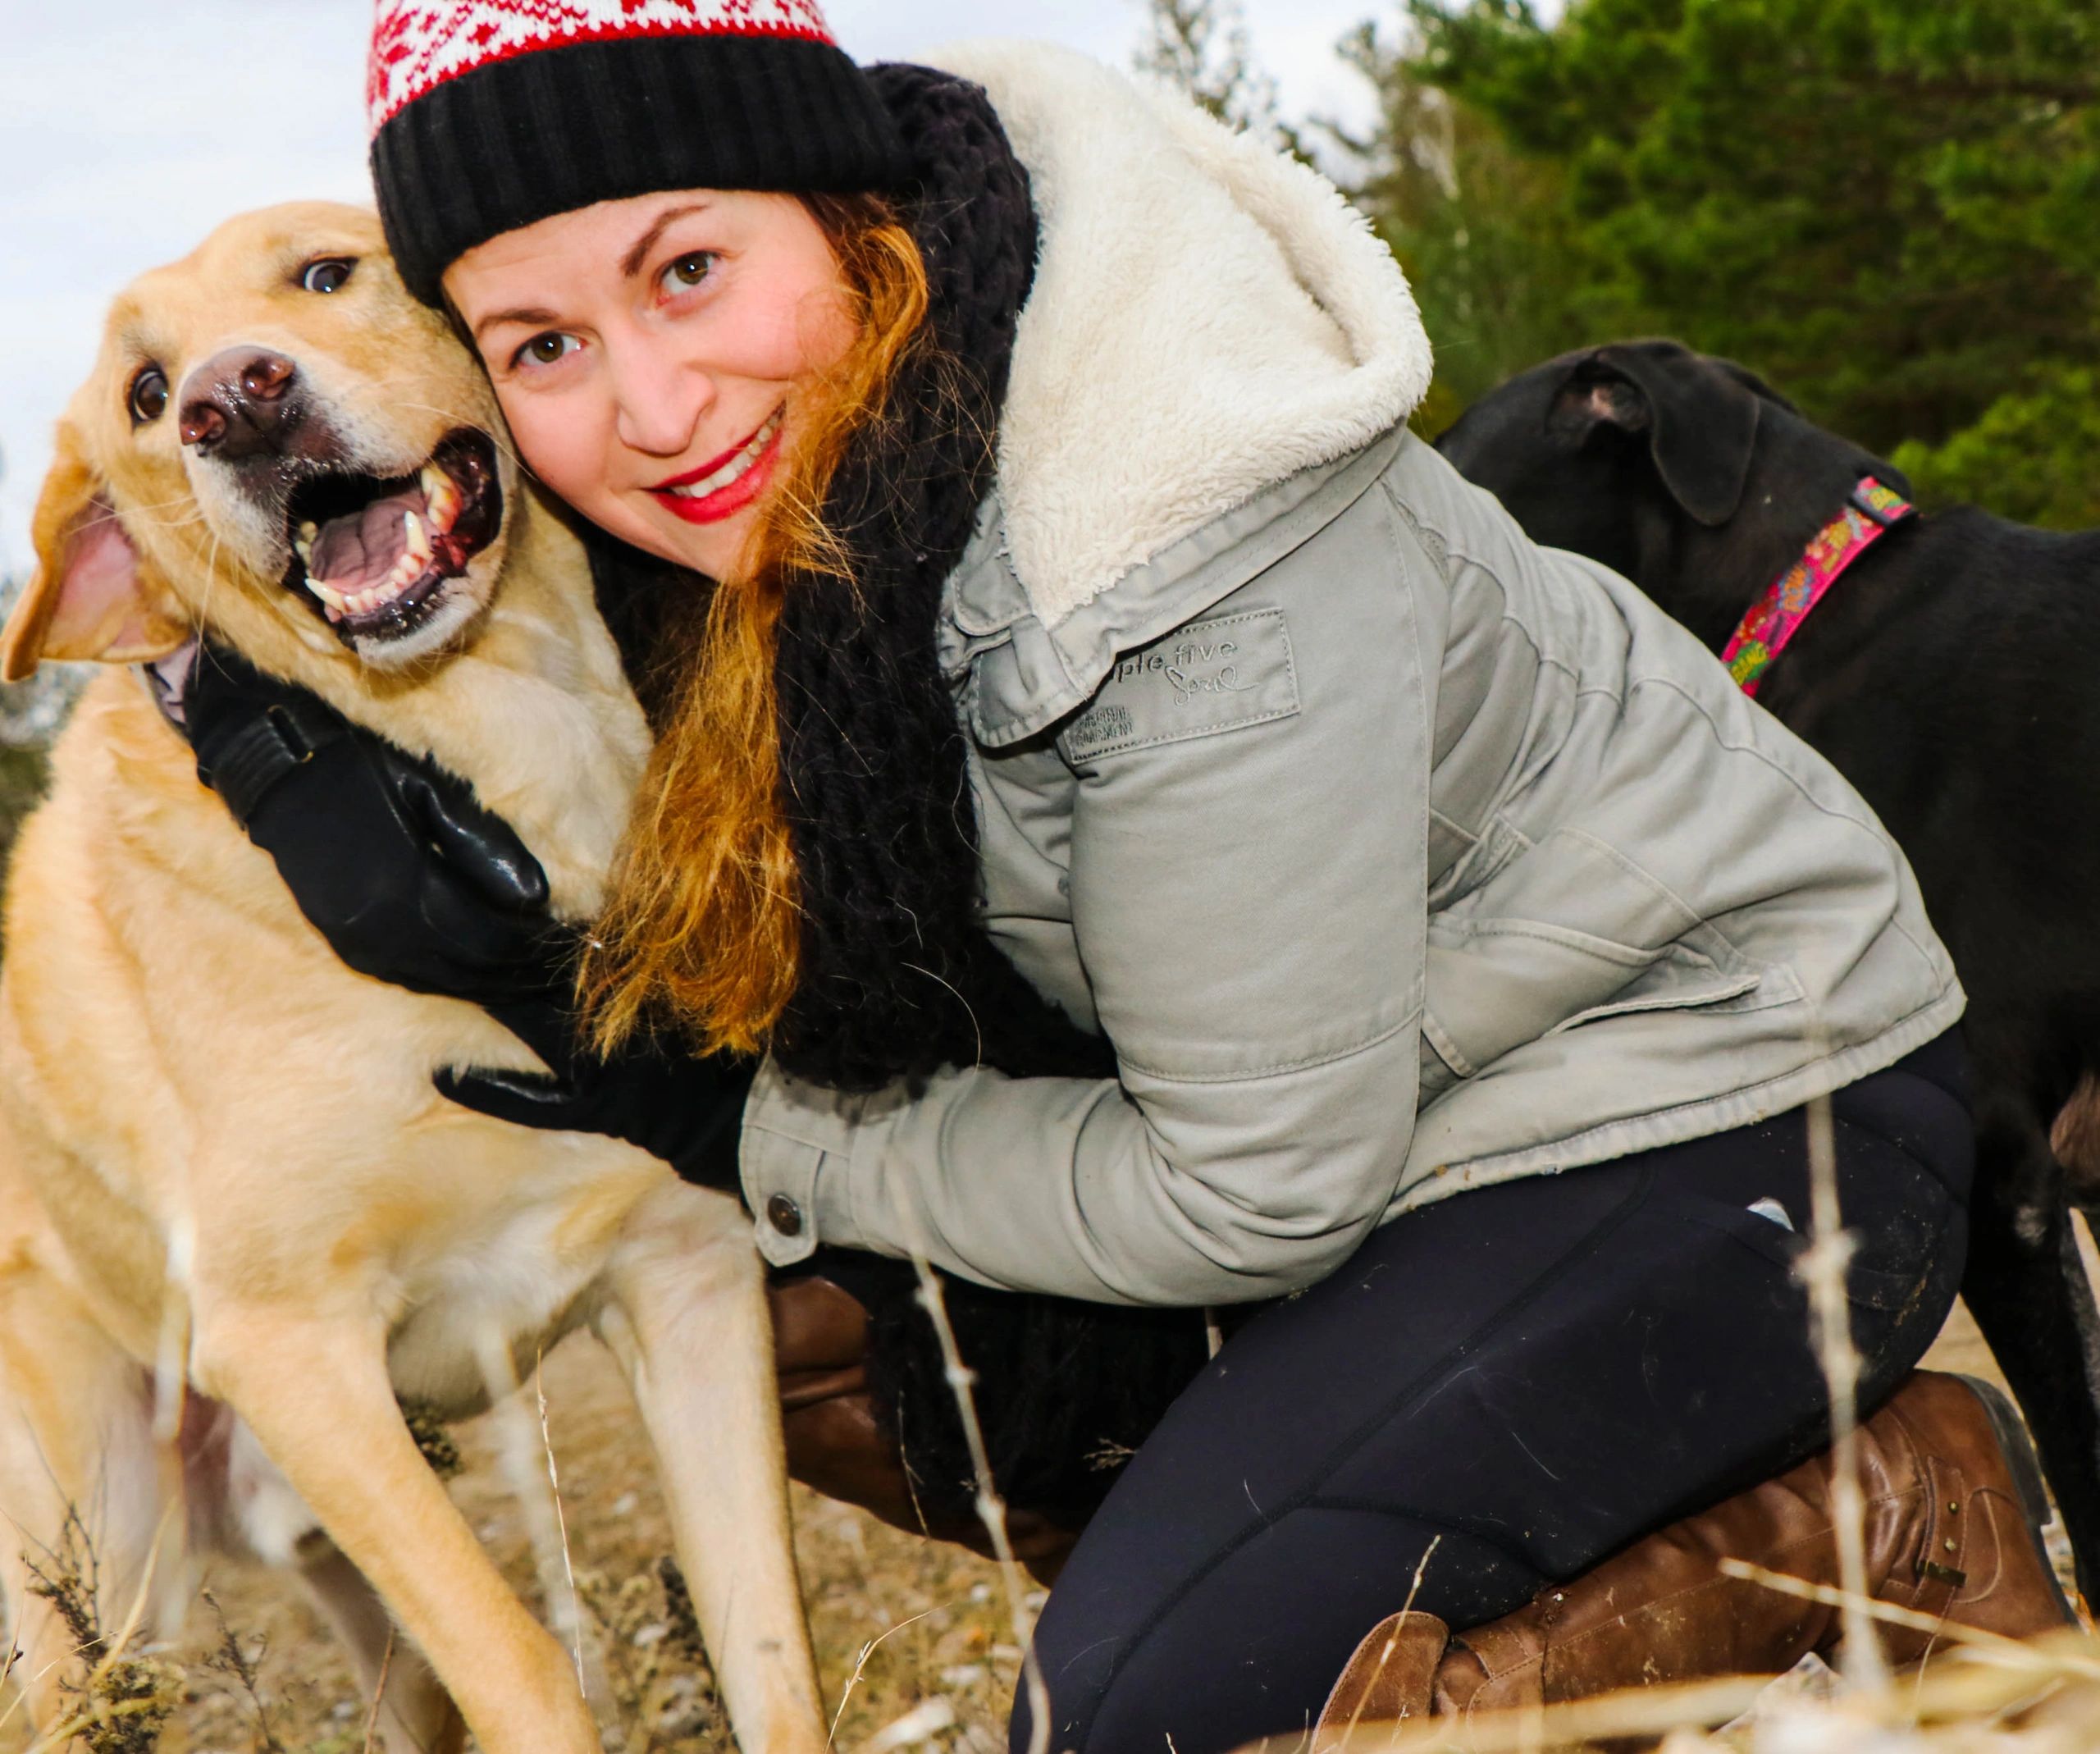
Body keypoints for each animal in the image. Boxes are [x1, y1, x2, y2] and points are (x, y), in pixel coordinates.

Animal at [0, 205, 823, 1754]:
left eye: (325, 273)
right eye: (145, 395)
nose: (234, 401)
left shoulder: (692, 1283)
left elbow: (771, 1660)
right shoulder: (297, 1355)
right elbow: (529, 1673)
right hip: (91, 1593)